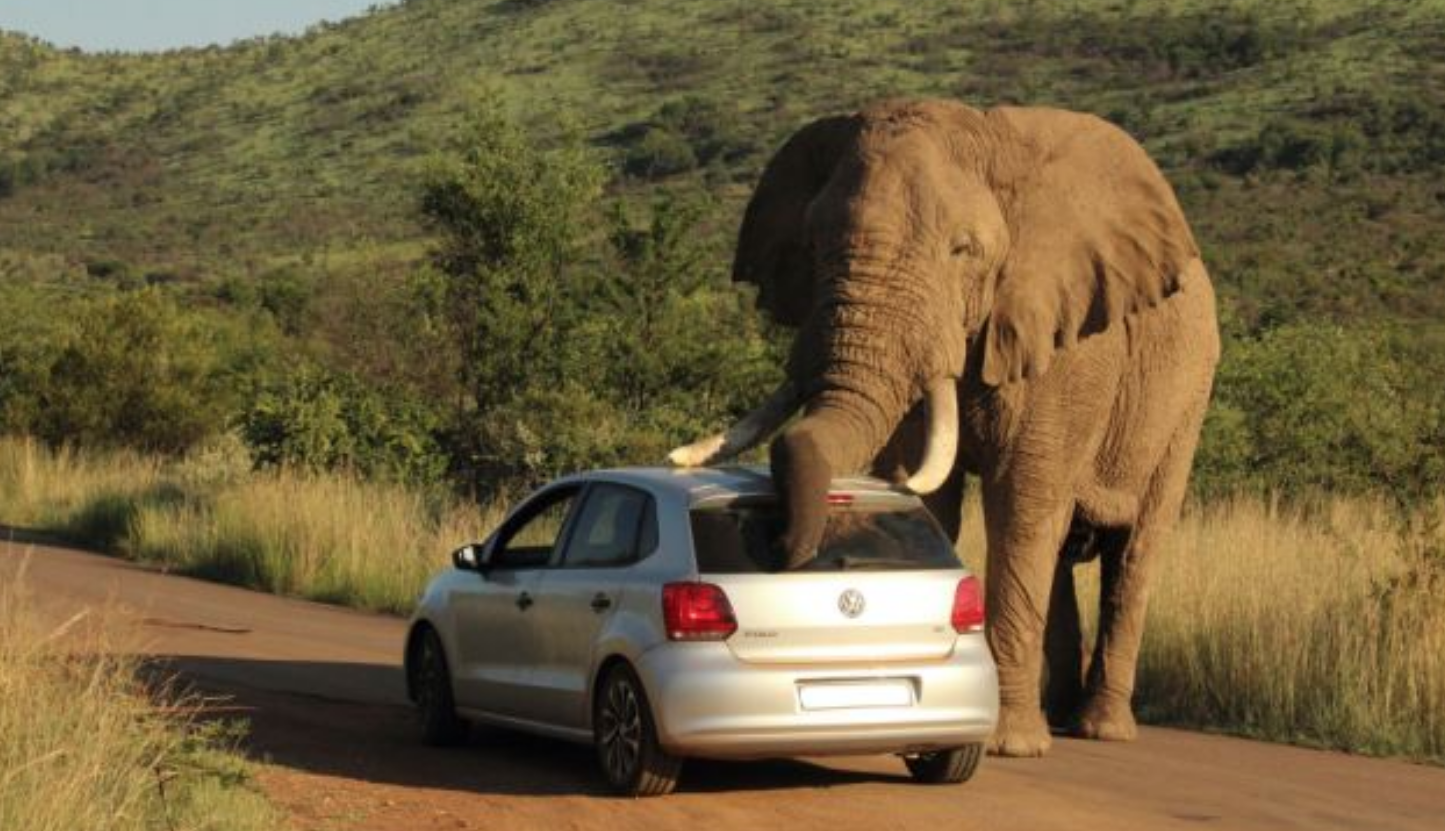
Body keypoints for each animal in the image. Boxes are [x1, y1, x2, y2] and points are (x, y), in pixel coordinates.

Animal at [664, 101, 1219, 757]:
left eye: (963, 250)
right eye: (814, 244)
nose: (774, 548)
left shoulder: (1069, 346)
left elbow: (1020, 504)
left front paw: (1007, 745)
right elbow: (930, 494)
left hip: (1186, 397)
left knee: (1131, 550)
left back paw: (1099, 729)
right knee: (1060, 547)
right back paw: (1057, 716)